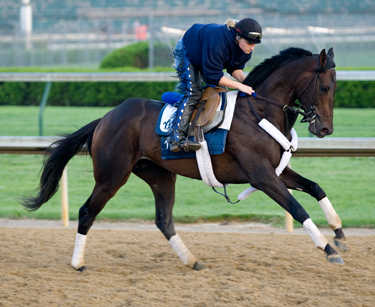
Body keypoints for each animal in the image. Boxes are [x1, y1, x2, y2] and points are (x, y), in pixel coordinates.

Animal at [22, 46, 348, 272]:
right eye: (324, 87)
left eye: (335, 88)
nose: (325, 129)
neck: (260, 112)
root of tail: (105, 118)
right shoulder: (262, 176)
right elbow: (297, 208)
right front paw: (328, 248)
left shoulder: (277, 172)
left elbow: (316, 188)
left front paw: (340, 234)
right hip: (111, 176)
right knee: (87, 212)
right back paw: (77, 263)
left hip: (159, 175)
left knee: (164, 220)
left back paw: (192, 261)